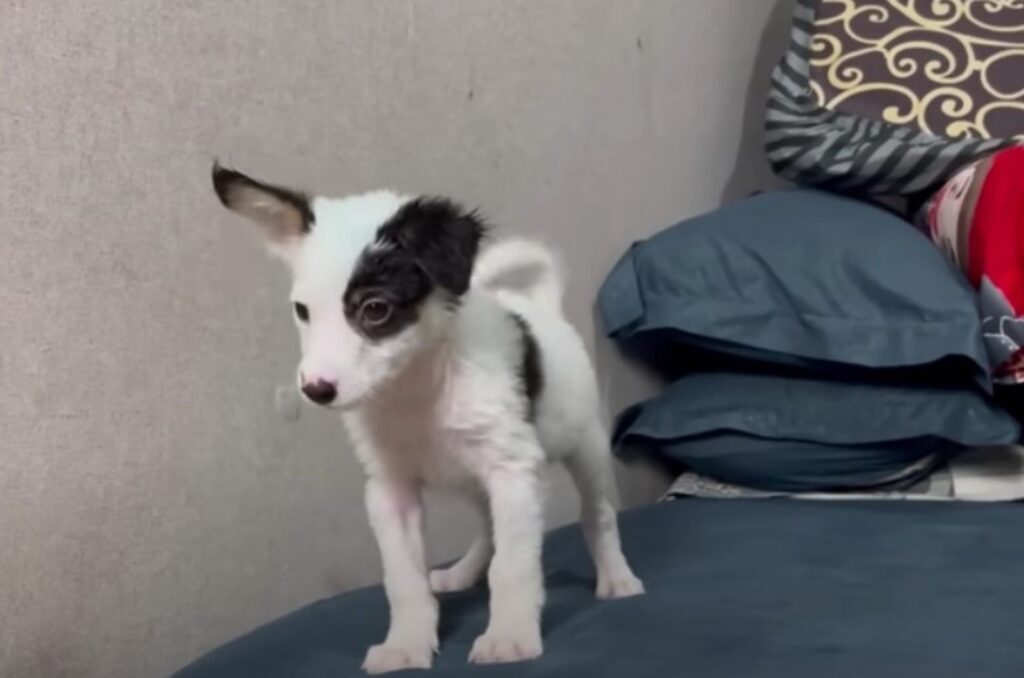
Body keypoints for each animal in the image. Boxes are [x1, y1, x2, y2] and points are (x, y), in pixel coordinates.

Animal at [209, 164, 638, 675]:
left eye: (375, 309)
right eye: (302, 311)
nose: (315, 389)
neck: (416, 386)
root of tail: (542, 308)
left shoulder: (512, 473)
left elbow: (513, 566)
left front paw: (510, 635)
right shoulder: (390, 493)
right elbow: (404, 580)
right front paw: (406, 644)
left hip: (585, 447)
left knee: (598, 515)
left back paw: (616, 578)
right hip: (473, 480)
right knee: (487, 527)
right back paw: (463, 572)